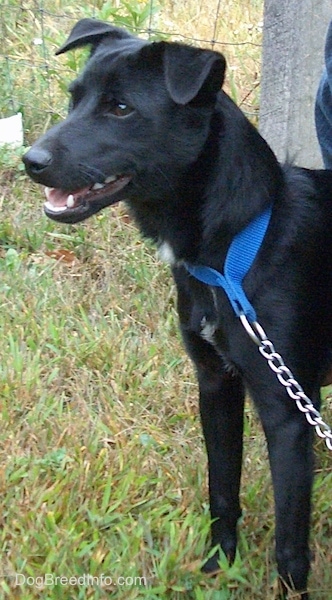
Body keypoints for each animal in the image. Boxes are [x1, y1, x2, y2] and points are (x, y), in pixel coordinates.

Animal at [23, 17, 332, 596]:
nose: (30, 161)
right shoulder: (215, 385)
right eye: (75, 99)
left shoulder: (285, 413)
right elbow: (222, 490)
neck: (234, 251)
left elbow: (289, 545)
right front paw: (216, 566)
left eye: (121, 108)